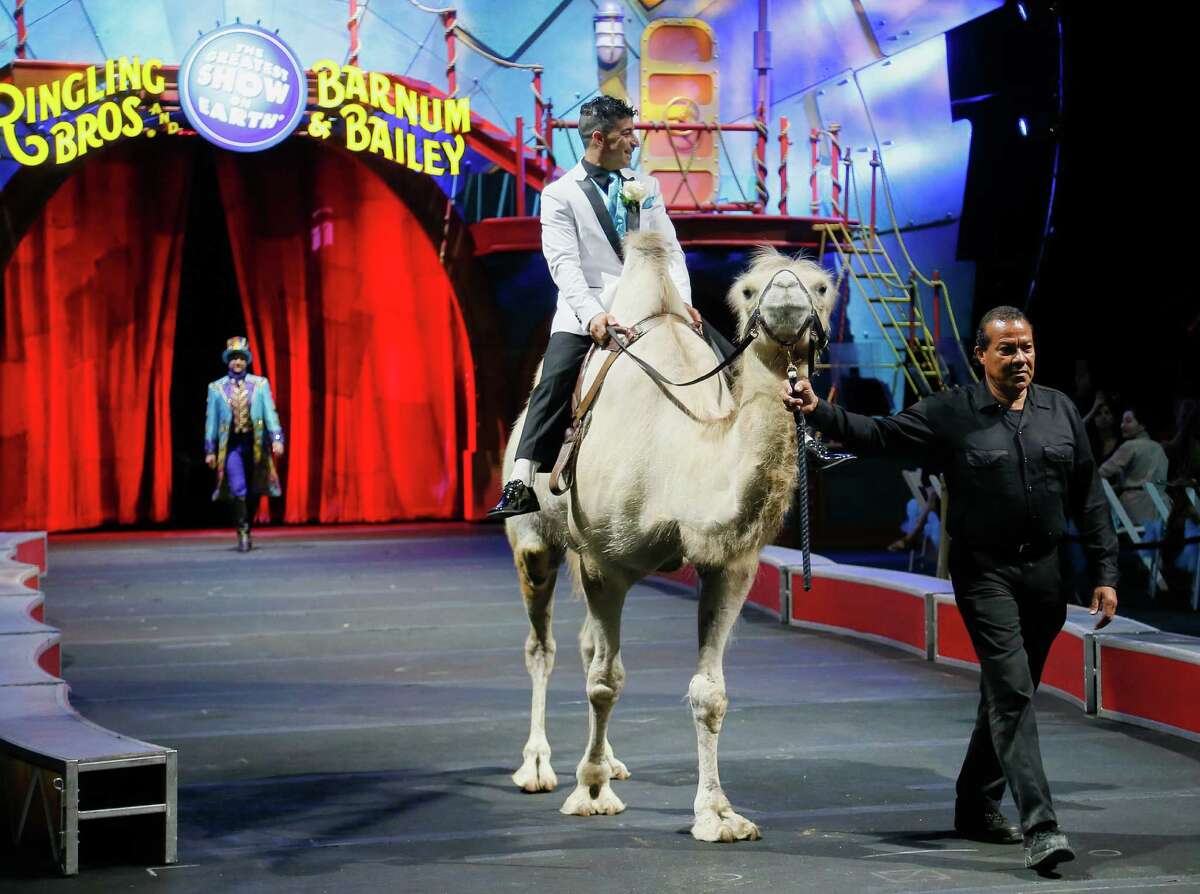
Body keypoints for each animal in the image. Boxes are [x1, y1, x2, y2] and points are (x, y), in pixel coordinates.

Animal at [501, 228, 830, 835]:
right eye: (748, 290)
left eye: (821, 286)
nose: (787, 303)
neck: (676, 461)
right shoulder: (605, 562)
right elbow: (606, 681)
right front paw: (591, 791)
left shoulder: (729, 565)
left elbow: (709, 692)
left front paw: (718, 813)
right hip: (534, 538)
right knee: (543, 643)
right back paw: (539, 766)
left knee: (586, 643)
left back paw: (610, 760)